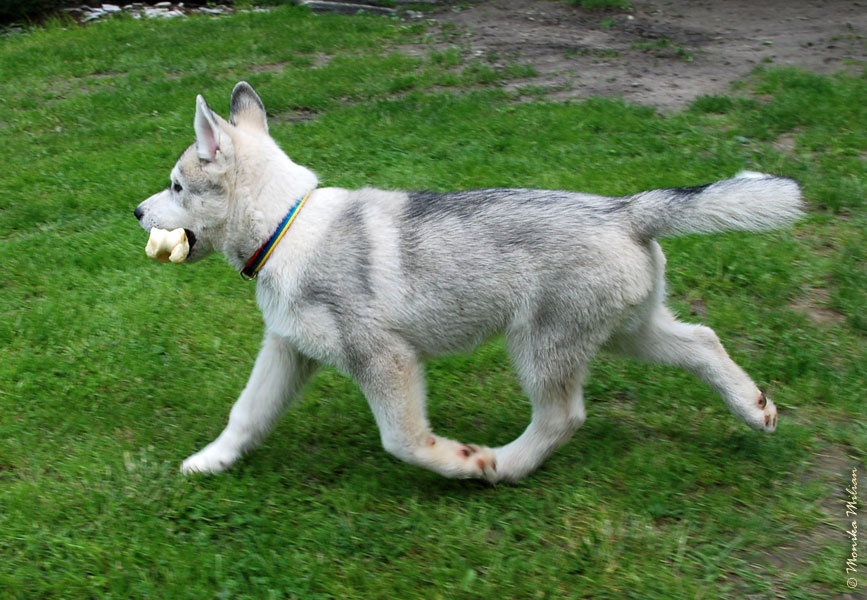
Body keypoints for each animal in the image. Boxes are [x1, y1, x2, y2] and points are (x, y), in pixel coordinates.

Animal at [134, 82, 802, 482]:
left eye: (175, 185)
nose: (136, 213)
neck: (287, 225)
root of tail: (626, 210)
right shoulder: (288, 349)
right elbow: (246, 414)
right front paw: (207, 462)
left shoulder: (386, 360)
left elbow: (404, 440)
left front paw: (463, 461)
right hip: (626, 332)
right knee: (703, 341)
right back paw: (755, 408)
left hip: (540, 344)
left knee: (563, 417)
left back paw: (504, 464)